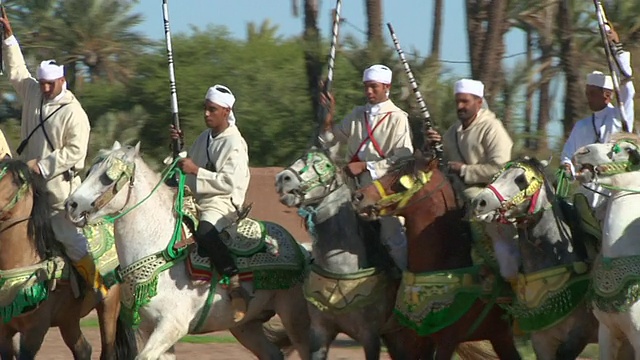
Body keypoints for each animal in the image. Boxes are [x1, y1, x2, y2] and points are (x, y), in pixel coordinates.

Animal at [0, 160, 136, 360]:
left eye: (16, 181)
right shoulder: (4, 331)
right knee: (84, 349)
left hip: (108, 306)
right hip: (68, 320)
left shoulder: (34, 332)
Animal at [63, 142, 310, 358]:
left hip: (295, 317)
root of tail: (303, 251)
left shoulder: (172, 326)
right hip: (246, 326)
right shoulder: (149, 329)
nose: (71, 205)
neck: (159, 251)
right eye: (89, 171)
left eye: (107, 177)